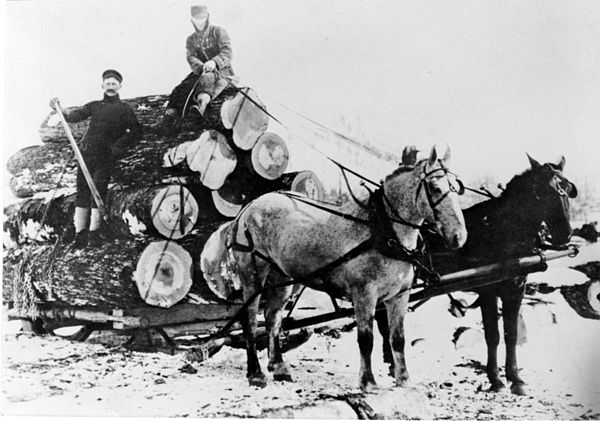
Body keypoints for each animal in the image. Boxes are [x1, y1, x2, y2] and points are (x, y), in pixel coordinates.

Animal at [227, 145, 466, 390]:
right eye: (435, 187)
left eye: (457, 188)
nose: (459, 236)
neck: (383, 230)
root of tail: (250, 206)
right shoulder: (364, 294)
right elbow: (366, 338)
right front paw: (368, 382)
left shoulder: (399, 295)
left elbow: (398, 338)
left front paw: (404, 380)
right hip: (252, 273)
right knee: (250, 319)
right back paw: (255, 373)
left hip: (280, 277)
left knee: (273, 318)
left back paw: (279, 368)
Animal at [378, 153, 580, 394]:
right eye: (541, 191)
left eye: (568, 189)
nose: (564, 234)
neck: (501, 229)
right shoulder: (487, 290)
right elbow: (492, 335)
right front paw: (496, 379)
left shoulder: (516, 288)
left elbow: (511, 334)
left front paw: (516, 379)